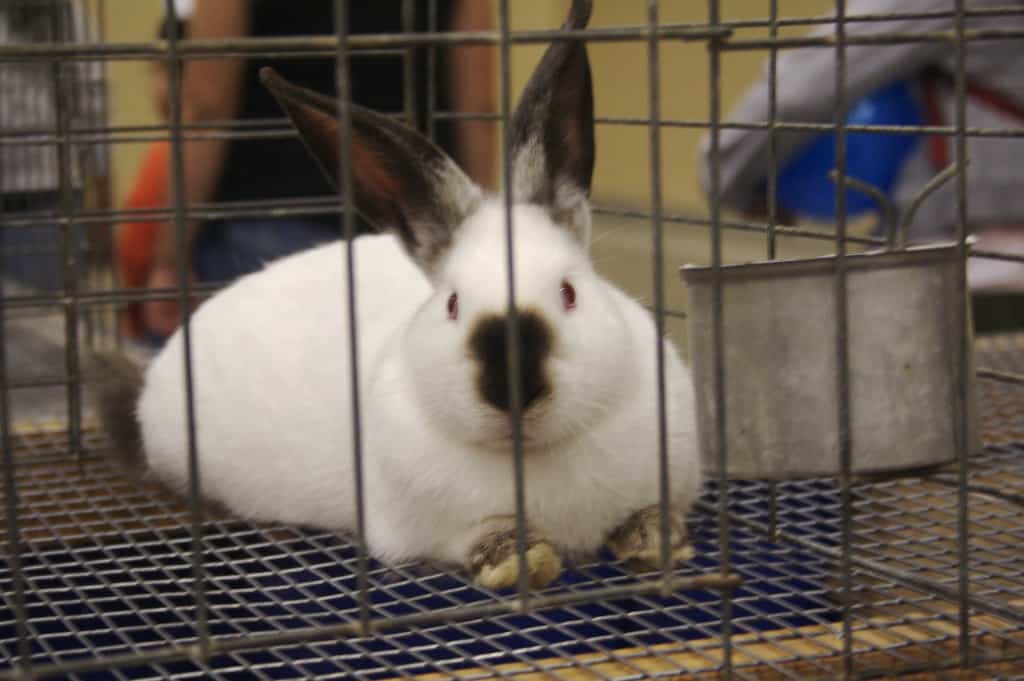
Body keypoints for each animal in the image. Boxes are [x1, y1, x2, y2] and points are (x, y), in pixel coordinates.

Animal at [97, 0, 702, 591]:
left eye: (569, 293)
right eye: (453, 304)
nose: (512, 385)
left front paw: (658, 539)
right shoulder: (427, 526)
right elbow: (482, 534)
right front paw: (518, 559)